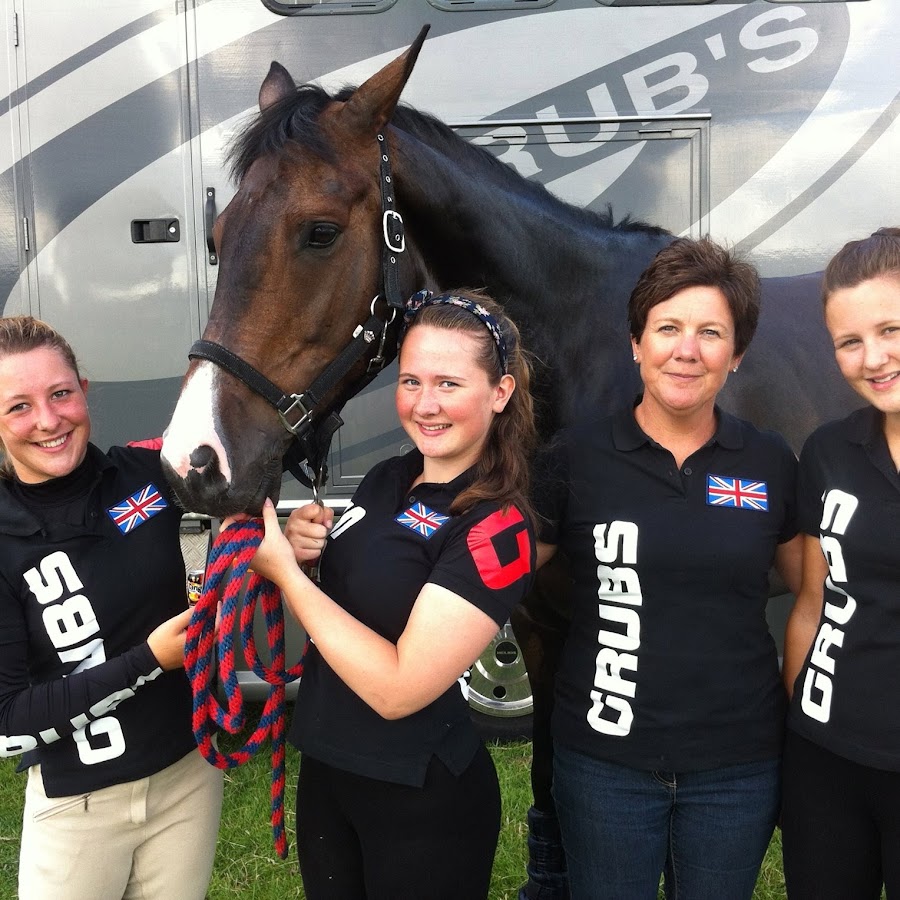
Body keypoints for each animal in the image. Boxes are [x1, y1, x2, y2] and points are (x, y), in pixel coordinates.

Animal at [160, 28, 860, 897]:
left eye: (319, 231)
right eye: (216, 239)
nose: (193, 462)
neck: (588, 355)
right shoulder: (539, 620)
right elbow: (555, 787)